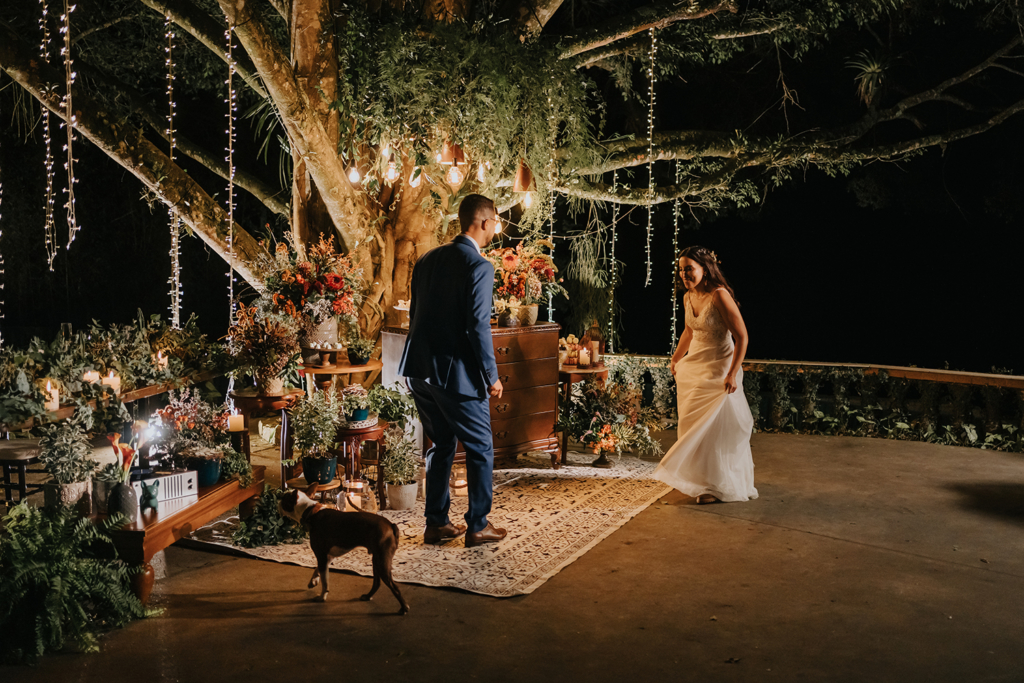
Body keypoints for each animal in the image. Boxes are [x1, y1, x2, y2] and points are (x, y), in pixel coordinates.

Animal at [280, 483, 411, 618]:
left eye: (283, 499)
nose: (278, 501)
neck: (311, 512)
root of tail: (391, 525)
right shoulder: (327, 557)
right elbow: (318, 569)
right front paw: (313, 581)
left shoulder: (321, 555)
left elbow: (325, 581)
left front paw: (322, 597)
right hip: (376, 559)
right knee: (377, 582)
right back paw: (368, 596)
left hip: (382, 561)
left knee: (393, 586)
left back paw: (404, 608)